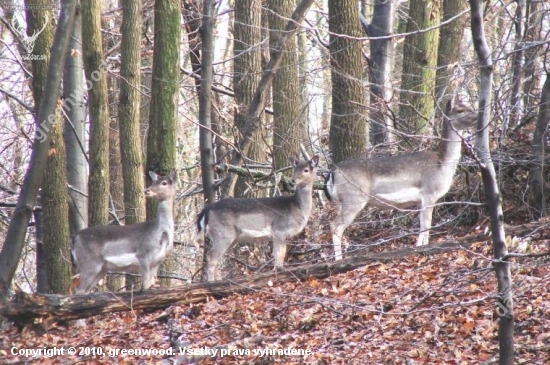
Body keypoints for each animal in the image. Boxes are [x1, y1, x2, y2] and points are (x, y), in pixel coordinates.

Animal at [326, 99, 476, 258]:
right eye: (460, 110)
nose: (478, 114)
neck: (443, 165)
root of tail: (333, 171)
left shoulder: (420, 200)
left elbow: (422, 224)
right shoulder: (429, 192)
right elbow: (426, 224)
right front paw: (422, 248)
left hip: (343, 201)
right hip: (353, 198)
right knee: (335, 225)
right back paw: (338, 258)